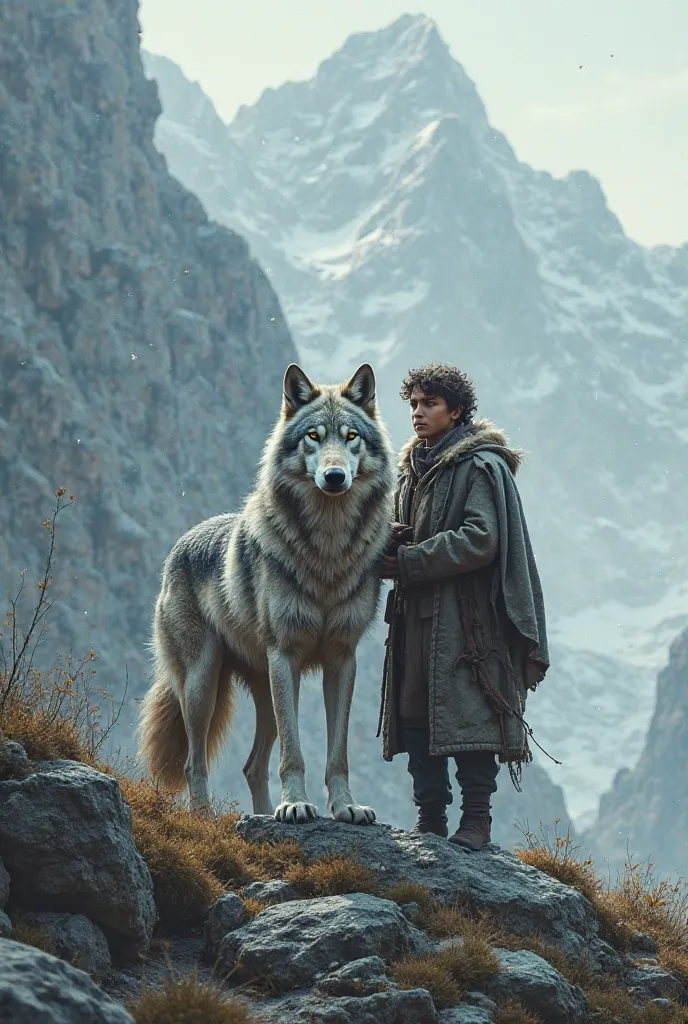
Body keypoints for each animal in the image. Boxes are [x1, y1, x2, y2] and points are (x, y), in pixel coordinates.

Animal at [136, 364, 393, 827]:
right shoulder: (285, 655)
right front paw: (294, 805)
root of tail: (180, 543)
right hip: (205, 684)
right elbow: (294, 753)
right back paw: (204, 820)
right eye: (313, 436)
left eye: (350, 436)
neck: (327, 553)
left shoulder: (341, 659)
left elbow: (338, 753)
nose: (334, 477)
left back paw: (260, 815)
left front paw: (345, 807)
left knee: (252, 765)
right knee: (194, 762)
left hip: (265, 691)